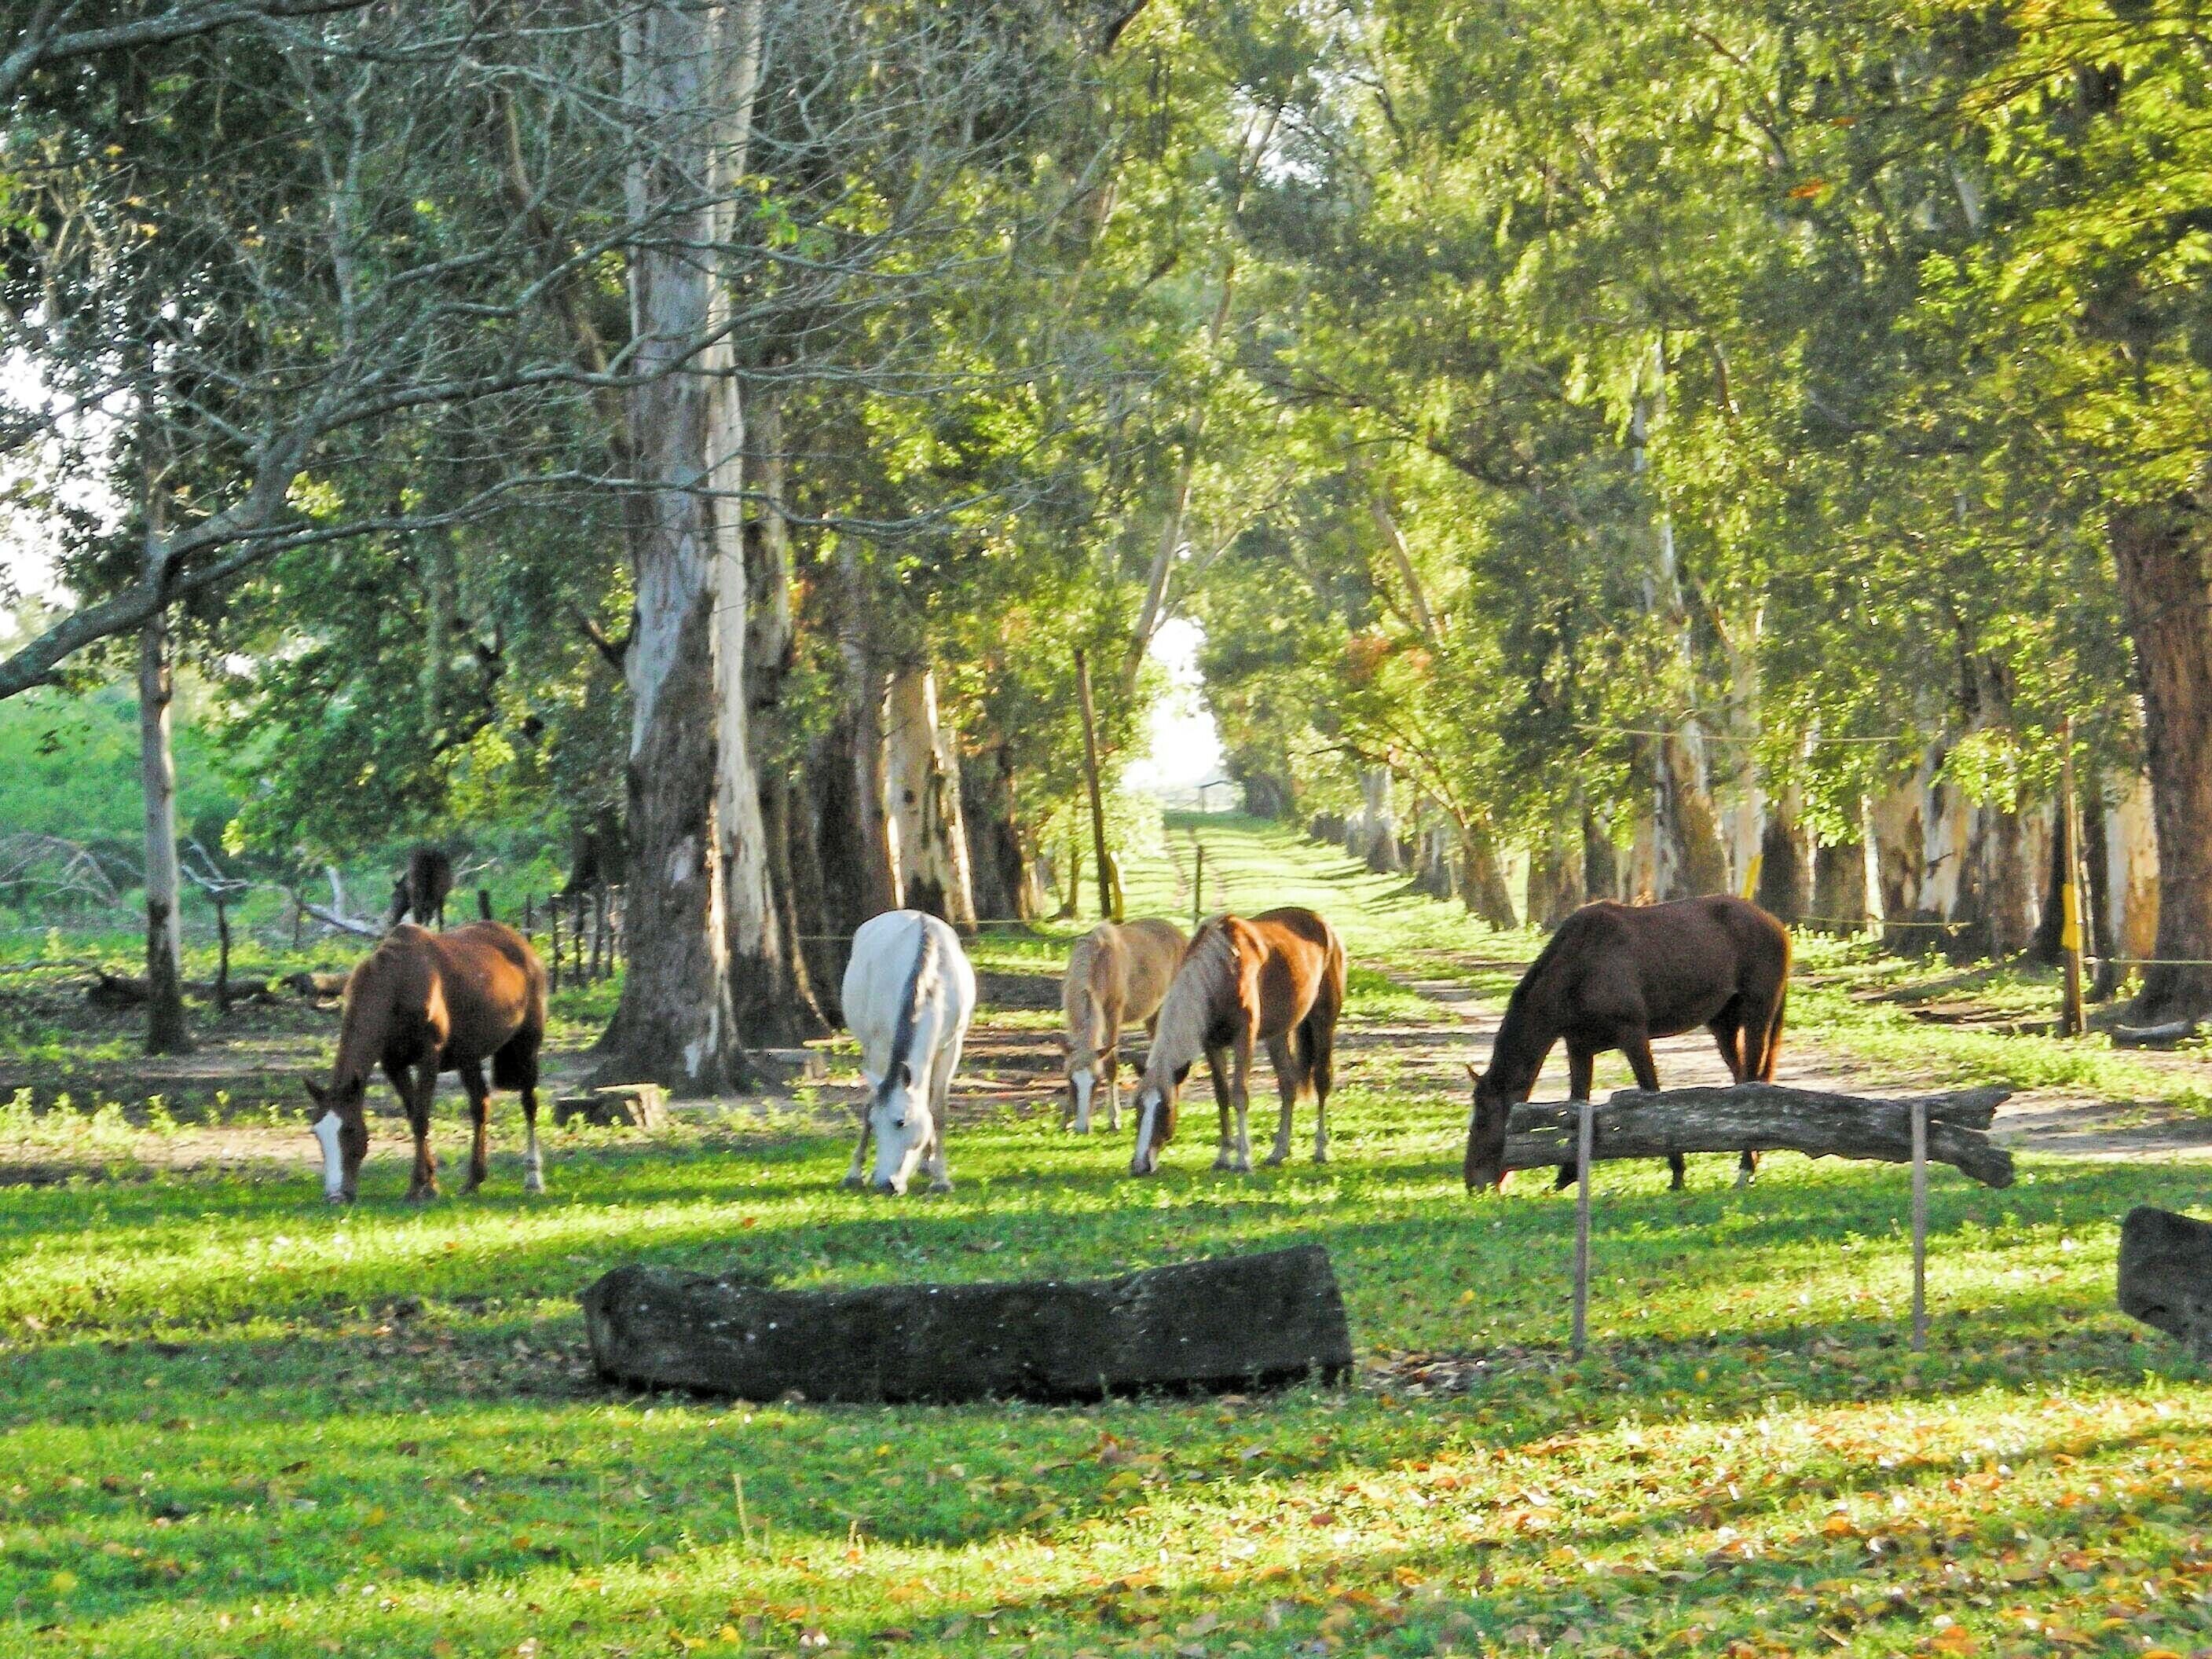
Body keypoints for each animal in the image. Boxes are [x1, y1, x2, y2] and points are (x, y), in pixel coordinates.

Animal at [304, 921, 547, 1203]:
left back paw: (533, 1179)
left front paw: (419, 1186)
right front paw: (430, 1182)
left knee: (529, 1104)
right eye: (316, 1133)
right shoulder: (392, 1064)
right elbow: (413, 1115)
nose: (335, 1196)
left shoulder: (429, 1057)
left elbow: (421, 1117)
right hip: (468, 1057)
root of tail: (523, 945)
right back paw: (473, 1180)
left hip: (527, 1045)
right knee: (480, 1104)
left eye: (350, 1130)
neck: (397, 984)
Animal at [840, 909, 977, 1195]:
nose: (885, 1184)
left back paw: (927, 1164)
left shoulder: (950, 1047)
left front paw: (940, 1178)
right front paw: (854, 1174)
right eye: (875, 1124)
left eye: (899, 1122)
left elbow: (937, 1109)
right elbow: (870, 1102)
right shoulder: (880, 1047)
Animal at [1060, 917, 1187, 1133]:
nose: (1082, 1128)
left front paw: (1114, 1120)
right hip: (1152, 1015)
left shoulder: (1113, 1014)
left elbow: (1111, 1065)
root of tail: (1180, 934)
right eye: (1071, 1081)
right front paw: (1066, 1119)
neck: (1098, 962)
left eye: (1097, 1081)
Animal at [1128, 908, 1346, 1177]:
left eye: (1166, 1108)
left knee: (1323, 1081)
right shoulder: (1211, 1044)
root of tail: (1322, 923)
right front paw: (1223, 1157)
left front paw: (1243, 1159)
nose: (1139, 1165)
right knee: (1288, 1084)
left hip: (1323, 1021)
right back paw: (1278, 1152)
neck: (1222, 970)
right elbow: (1222, 1097)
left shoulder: (1244, 1037)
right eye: (1137, 1107)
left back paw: (1320, 1150)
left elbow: (1239, 1094)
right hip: (1277, 1034)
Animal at [1461, 894, 1790, 1195]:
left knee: (1753, 1082)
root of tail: (1776, 924)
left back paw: (1745, 1167)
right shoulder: (1578, 1046)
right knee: (1742, 1082)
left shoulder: (1633, 1036)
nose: (1473, 1183)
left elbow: (1652, 1095)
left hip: (1757, 1015)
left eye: (1482, 1121)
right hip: (1723, 1025)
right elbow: (1577, 1103)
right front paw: (1567, 1175)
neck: (1580, 967)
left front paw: (1677, 1172)